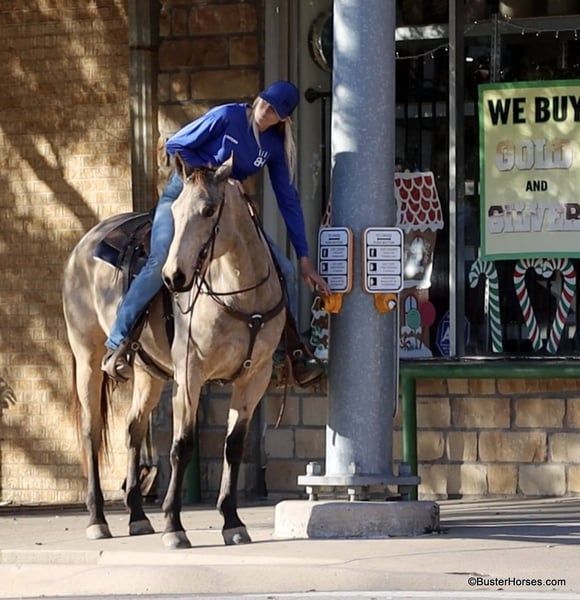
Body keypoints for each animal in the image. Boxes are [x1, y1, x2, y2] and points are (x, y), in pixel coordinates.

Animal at [62, 155, 286, 548]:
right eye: (176, 212)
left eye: (209, 210)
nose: (174, 277)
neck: (241, 298)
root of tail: (84, 244)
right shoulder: (189, 374)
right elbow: (182, 445)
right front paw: (173, 525)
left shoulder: (254, 378)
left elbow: (233, 446)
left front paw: (232, 522)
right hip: (87, 358)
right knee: (92, 432)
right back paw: (97, 519)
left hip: (148, 374)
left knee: (133, 429)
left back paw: (137, 516)